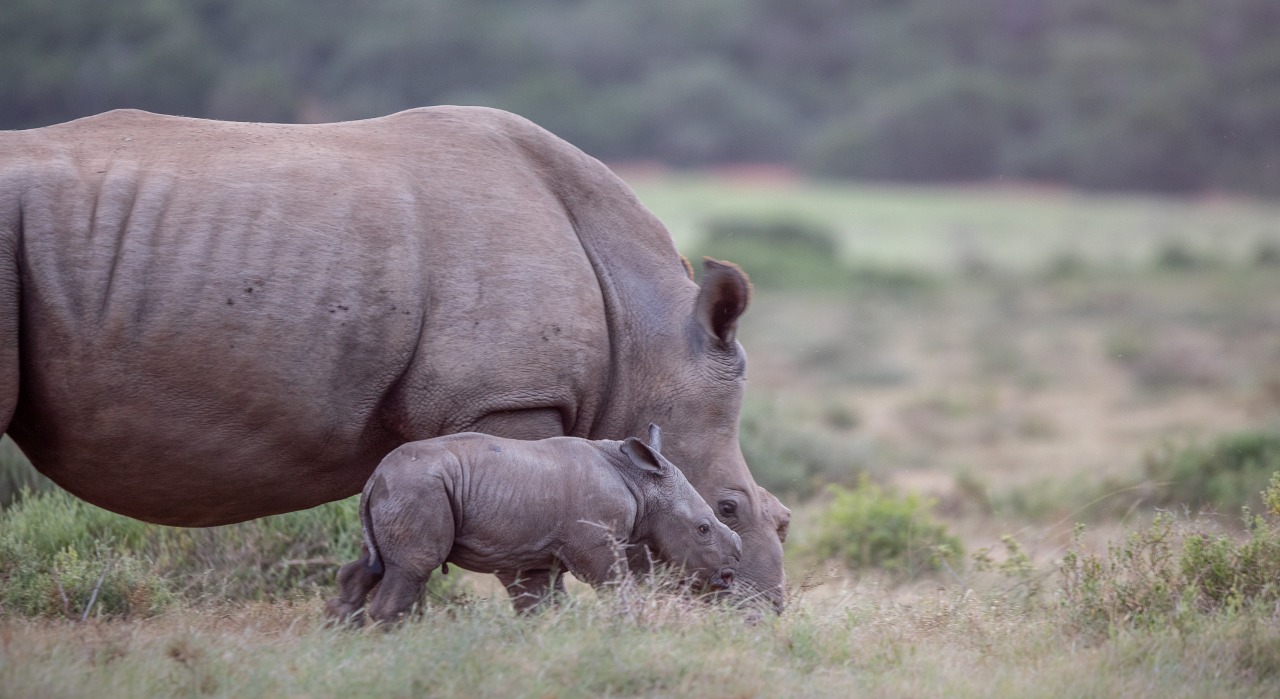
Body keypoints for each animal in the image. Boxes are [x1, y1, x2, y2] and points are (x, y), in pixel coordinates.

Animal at [325, 419, 742, 619]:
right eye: (703, 529)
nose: (728, 574)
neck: (642, 481)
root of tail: (375, 476)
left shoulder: (537, 556)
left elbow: (540, 604)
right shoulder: (596, 542)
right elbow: (616, 585)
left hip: (401, 488)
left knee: (374, 562)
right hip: (418, 487)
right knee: (412, 566)